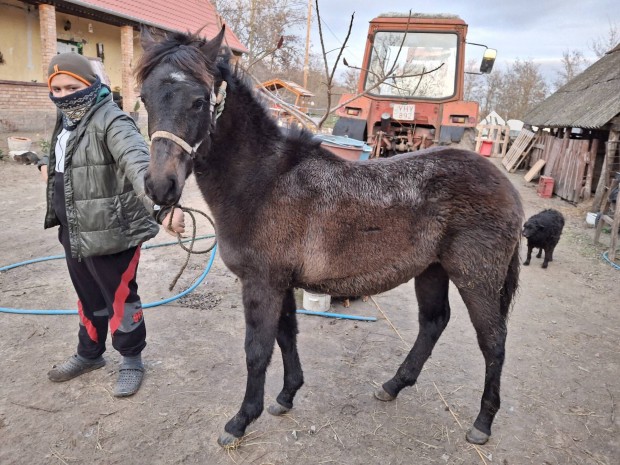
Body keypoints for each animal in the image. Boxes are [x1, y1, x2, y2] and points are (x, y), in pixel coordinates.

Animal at [136, 27, 524, 448]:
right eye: (144, 98)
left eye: (199, 101)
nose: (160, 186)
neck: (263, 180)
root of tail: (505, 185)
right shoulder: (281, 282)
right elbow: (286, 336)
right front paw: (286, 396)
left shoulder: (262, 283)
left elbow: (257, 350)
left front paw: (240, 421)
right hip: (432, 270)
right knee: (434, 323)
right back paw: (393, 385)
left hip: (476, 277)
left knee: (494, 341)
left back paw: (482, 422)